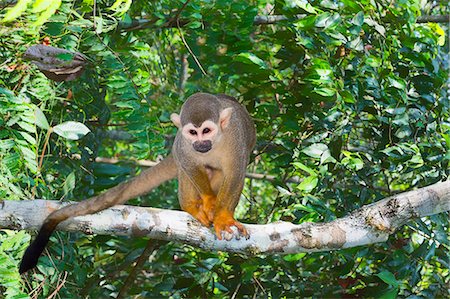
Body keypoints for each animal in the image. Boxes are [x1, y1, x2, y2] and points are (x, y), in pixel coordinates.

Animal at [19, 93, 255, 274]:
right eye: (193, 132)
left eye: (206, 131)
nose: (200, 143)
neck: (215, 142)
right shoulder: (183, 143)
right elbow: (188, 163)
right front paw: (208, 202)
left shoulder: (235, 138)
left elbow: (236, 172)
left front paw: (223, 218)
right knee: (184, 166)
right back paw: (191, 206)